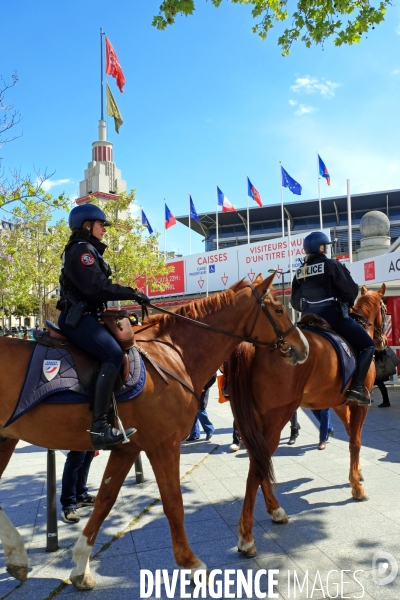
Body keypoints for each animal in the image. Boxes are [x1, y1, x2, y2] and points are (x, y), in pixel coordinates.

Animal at [0, 276, 310, 592]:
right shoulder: (164, 444)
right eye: (279, 309)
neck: (175, 354)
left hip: (6, 439)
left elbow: (104, 502)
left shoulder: (127, 448)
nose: (304, 348)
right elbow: (173, 503)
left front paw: (80, 566)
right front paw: (191, 564)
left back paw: (17, 557)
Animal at [230, 284, 386, 556]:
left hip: (256, 421)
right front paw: (356, 487)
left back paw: (275, 510)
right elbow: (355, 442)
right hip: (276, 417)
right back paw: (247, 536)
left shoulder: (339, 403)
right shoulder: (358, 404)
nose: (383, 341)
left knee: (259, 460)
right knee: (257, 466)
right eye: (386, 309)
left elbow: (351, 433)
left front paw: (358, 473)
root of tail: (253, 345)